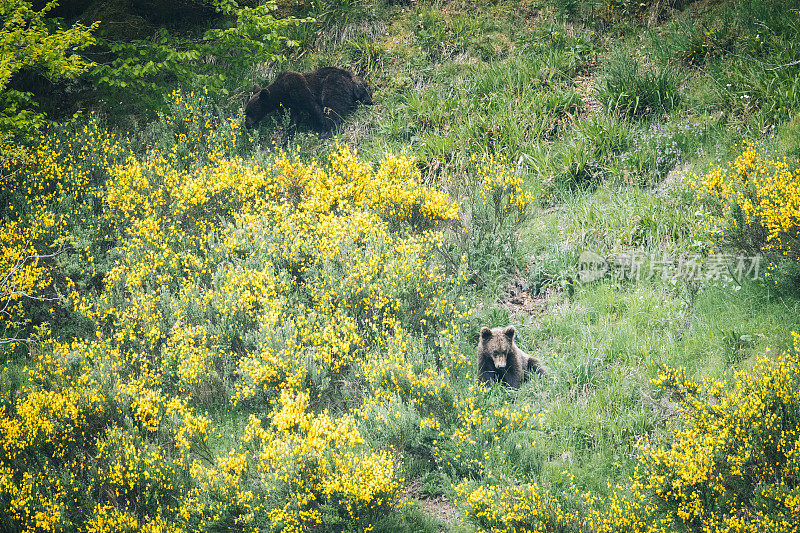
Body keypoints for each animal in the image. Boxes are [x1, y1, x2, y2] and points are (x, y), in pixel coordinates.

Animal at [244, 65, 372, 136]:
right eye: (246, 111)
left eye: (250, 112)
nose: (247, 124)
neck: (282, 93)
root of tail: (350, 79)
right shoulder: (293, 104)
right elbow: (294, 119)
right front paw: (286, 137)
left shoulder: (298, 89)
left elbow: (314, 107)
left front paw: (323, 128)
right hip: (360, 84)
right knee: (366, 92)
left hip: (333, 84)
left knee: (333, 106)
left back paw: (328, 131)